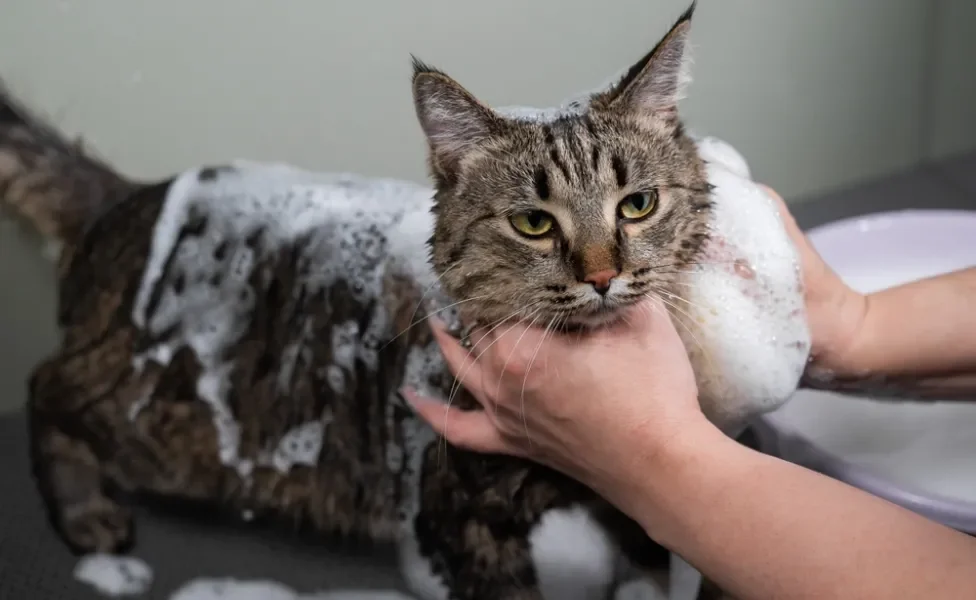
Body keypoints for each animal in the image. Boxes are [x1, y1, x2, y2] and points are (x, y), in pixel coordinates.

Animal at [0, 2, 808, 596]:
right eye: (534, 223)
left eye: (637, 205)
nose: (604, 275)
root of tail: (130, 195)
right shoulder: (460, 519)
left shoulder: (635, 504)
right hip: (157, 422)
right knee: (46, 384)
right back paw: (85, 511)